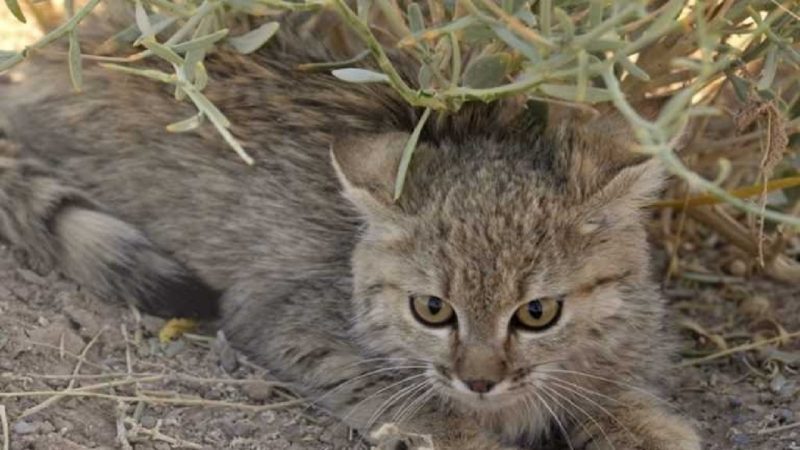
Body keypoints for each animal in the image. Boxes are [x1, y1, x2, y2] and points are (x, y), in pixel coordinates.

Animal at [0, 14, 700, 450]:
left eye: (537, 313)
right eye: (431, 309)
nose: (478, 380)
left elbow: (613, 388)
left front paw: (645, 424)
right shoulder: (288, 322)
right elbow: (407, 397)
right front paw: (460, 427)